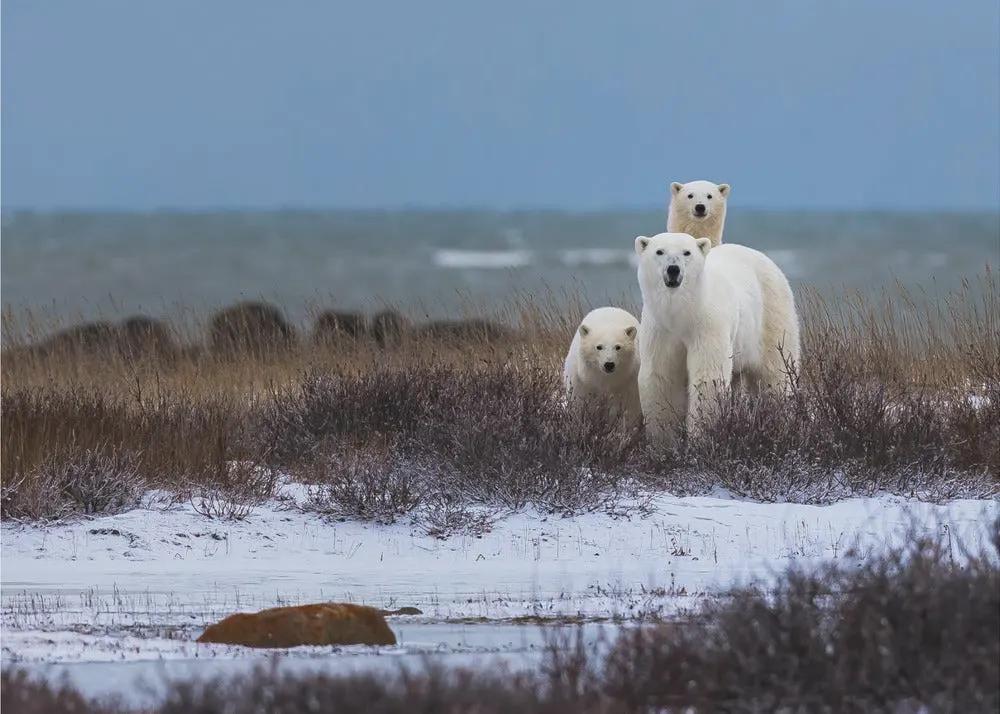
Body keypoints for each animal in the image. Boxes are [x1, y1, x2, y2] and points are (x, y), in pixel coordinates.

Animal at [635, 232, 800, 448]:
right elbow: (661, 376)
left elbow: (708, 377)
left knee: (775, 374)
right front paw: (663, 442)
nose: (673, 269)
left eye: (687, 252)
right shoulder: (660, 329)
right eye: (659, 251)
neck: (682, 312)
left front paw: (700, 438)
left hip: (771, 315)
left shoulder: (707, 324)